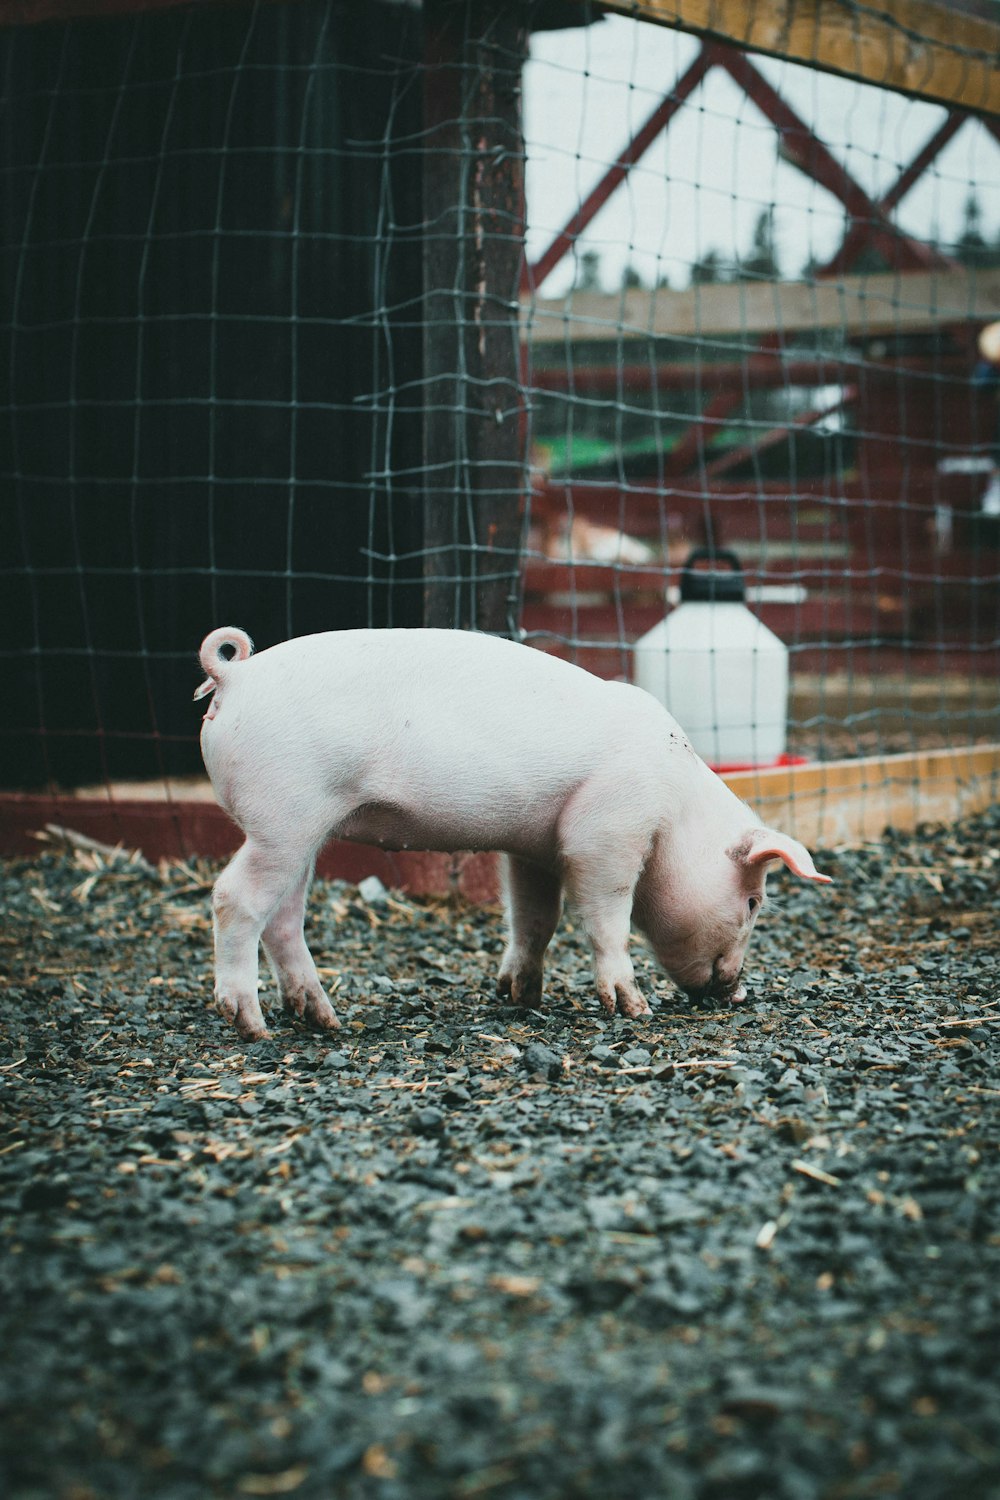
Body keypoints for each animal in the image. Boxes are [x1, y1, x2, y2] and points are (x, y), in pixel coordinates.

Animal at [193, 624, 827, 1044]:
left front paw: (520, 996)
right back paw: (252, 1027)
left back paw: (324, 1019)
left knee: (284, 919)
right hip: (284, 816)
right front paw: (634, 1009)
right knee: (233, 898)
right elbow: (606, 919)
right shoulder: (604, 833)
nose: (740, 991)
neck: (676, 812)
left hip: (303, 830)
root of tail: (235, 673)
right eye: (754, 902)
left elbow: (535, 919)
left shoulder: (535, 849)